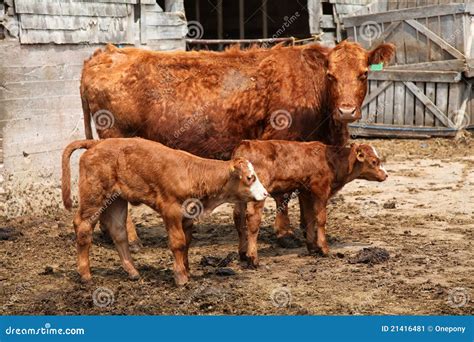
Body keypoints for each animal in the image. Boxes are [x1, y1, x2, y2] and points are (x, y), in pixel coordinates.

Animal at [61, 138, 268, 284]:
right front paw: (181, 278)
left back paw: (133, 272)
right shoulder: (171, 210)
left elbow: (186, 242)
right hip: (94, 197)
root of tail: (96, 143)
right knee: (83, 227)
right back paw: (85, 275)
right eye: (250, 177)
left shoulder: (188, 215)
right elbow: (178, 243)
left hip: (116, 200)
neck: (192, 174)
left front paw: (187, 270)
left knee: (118, 232)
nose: (265, 193)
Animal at [81, 40, 396, 250]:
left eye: (364, 74)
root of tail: (106, 53)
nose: (346, 111)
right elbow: (284, 194)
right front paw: (285, 234)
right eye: (330, 76)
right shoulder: (279, 141)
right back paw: (132, 240)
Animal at [231, 140, 386, 268]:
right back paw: (253, 258)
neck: (332, 160)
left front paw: (312, 247)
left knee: (239, 219)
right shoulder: (321, 190)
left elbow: (309, 217)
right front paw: (323, 248)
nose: (386, 175)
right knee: (253, 221)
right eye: (374, 161)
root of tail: (246, 144)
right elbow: (321, 219)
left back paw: (243, 254)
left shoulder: (306, 193)